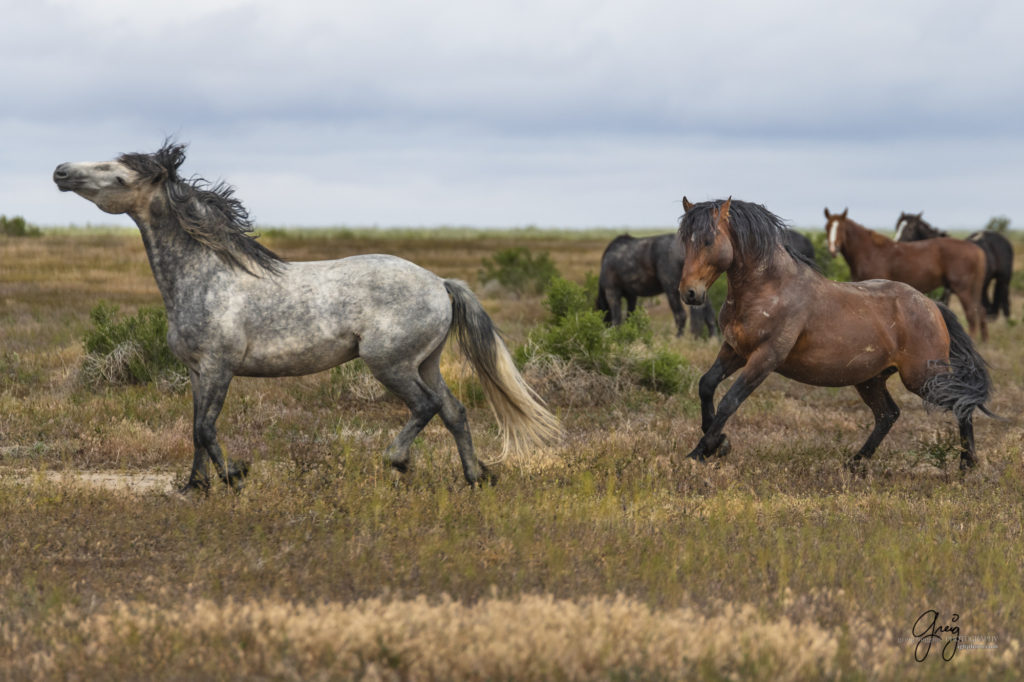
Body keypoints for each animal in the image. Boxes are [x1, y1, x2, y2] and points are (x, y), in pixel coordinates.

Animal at [54, 143, 561, 491]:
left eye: (119, 177)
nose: (60, 171)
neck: (207, 276)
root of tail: (439, 283)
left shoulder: (218, 367)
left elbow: (204, 427)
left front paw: (235, 477)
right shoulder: (197, 372)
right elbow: (196, 429)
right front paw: (194, 486)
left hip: (390, 363)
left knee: (427, 407)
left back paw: (396, 461)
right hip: (426, 361)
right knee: (454, 411)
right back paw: (476, 477)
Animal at [823, 204, 983, 337]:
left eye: (841, 229)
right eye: (827, 227)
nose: (833, 249)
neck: (871, 252)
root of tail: (975, 249)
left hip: (962, 289)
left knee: (971, 316)